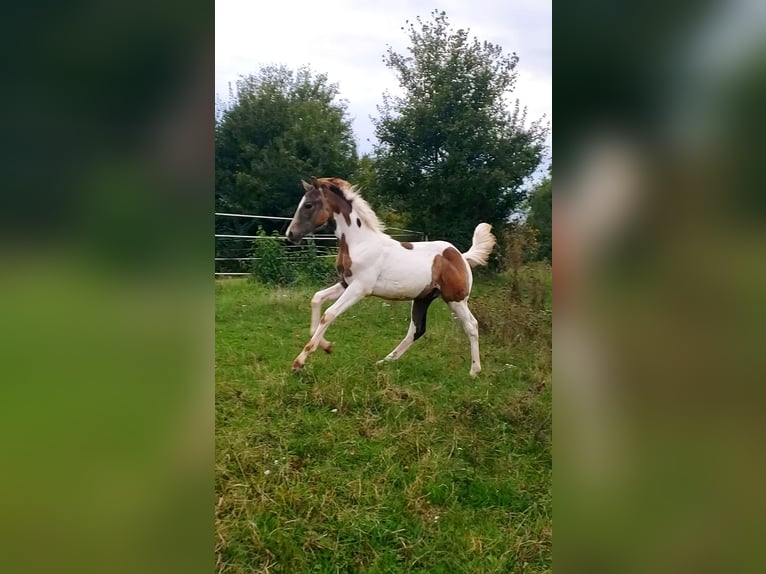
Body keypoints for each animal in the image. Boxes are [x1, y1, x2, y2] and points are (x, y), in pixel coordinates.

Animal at [286, 178, 498, 380]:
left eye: (308, 205)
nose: (290, 234)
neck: (359, 243)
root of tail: (461, 256)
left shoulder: (359, 288)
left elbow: (329, 314)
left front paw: (299, 362)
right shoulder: (345, 284)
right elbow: (317, 298)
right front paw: (327, 346)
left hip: (456, 299)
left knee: (471, 325)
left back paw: (474, 371)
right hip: (423, 298)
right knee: (417, 330)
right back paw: (384, 361)